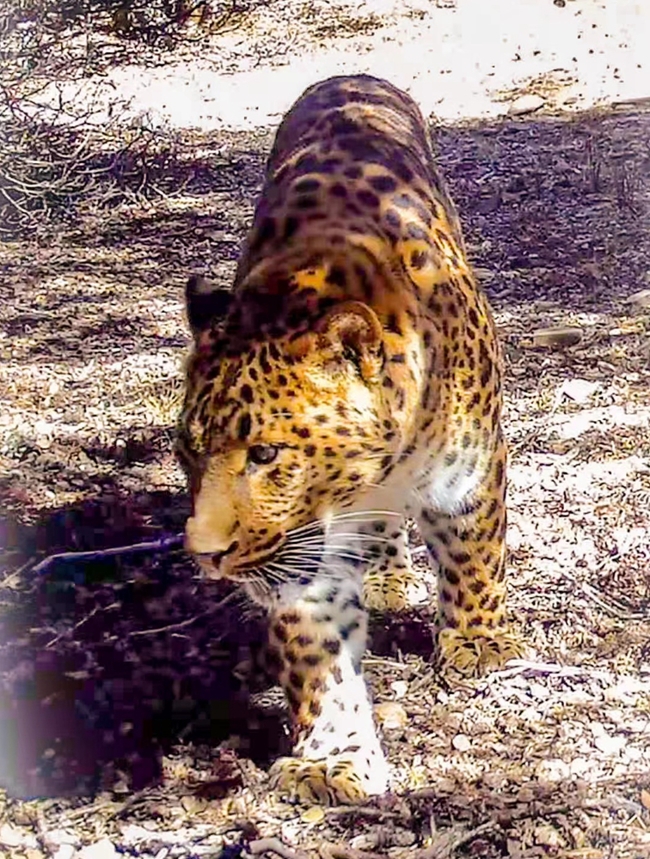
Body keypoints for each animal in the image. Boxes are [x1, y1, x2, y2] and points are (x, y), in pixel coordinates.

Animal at [177, 74, 523, 805]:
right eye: (187, 452)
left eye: (266, 454)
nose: (206, 555)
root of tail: (347, 76)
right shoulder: (300, 553)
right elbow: (320, 656)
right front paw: (331, 757)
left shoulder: (470, 472)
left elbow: (474, 559)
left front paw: (478, 642)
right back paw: (389, 573)